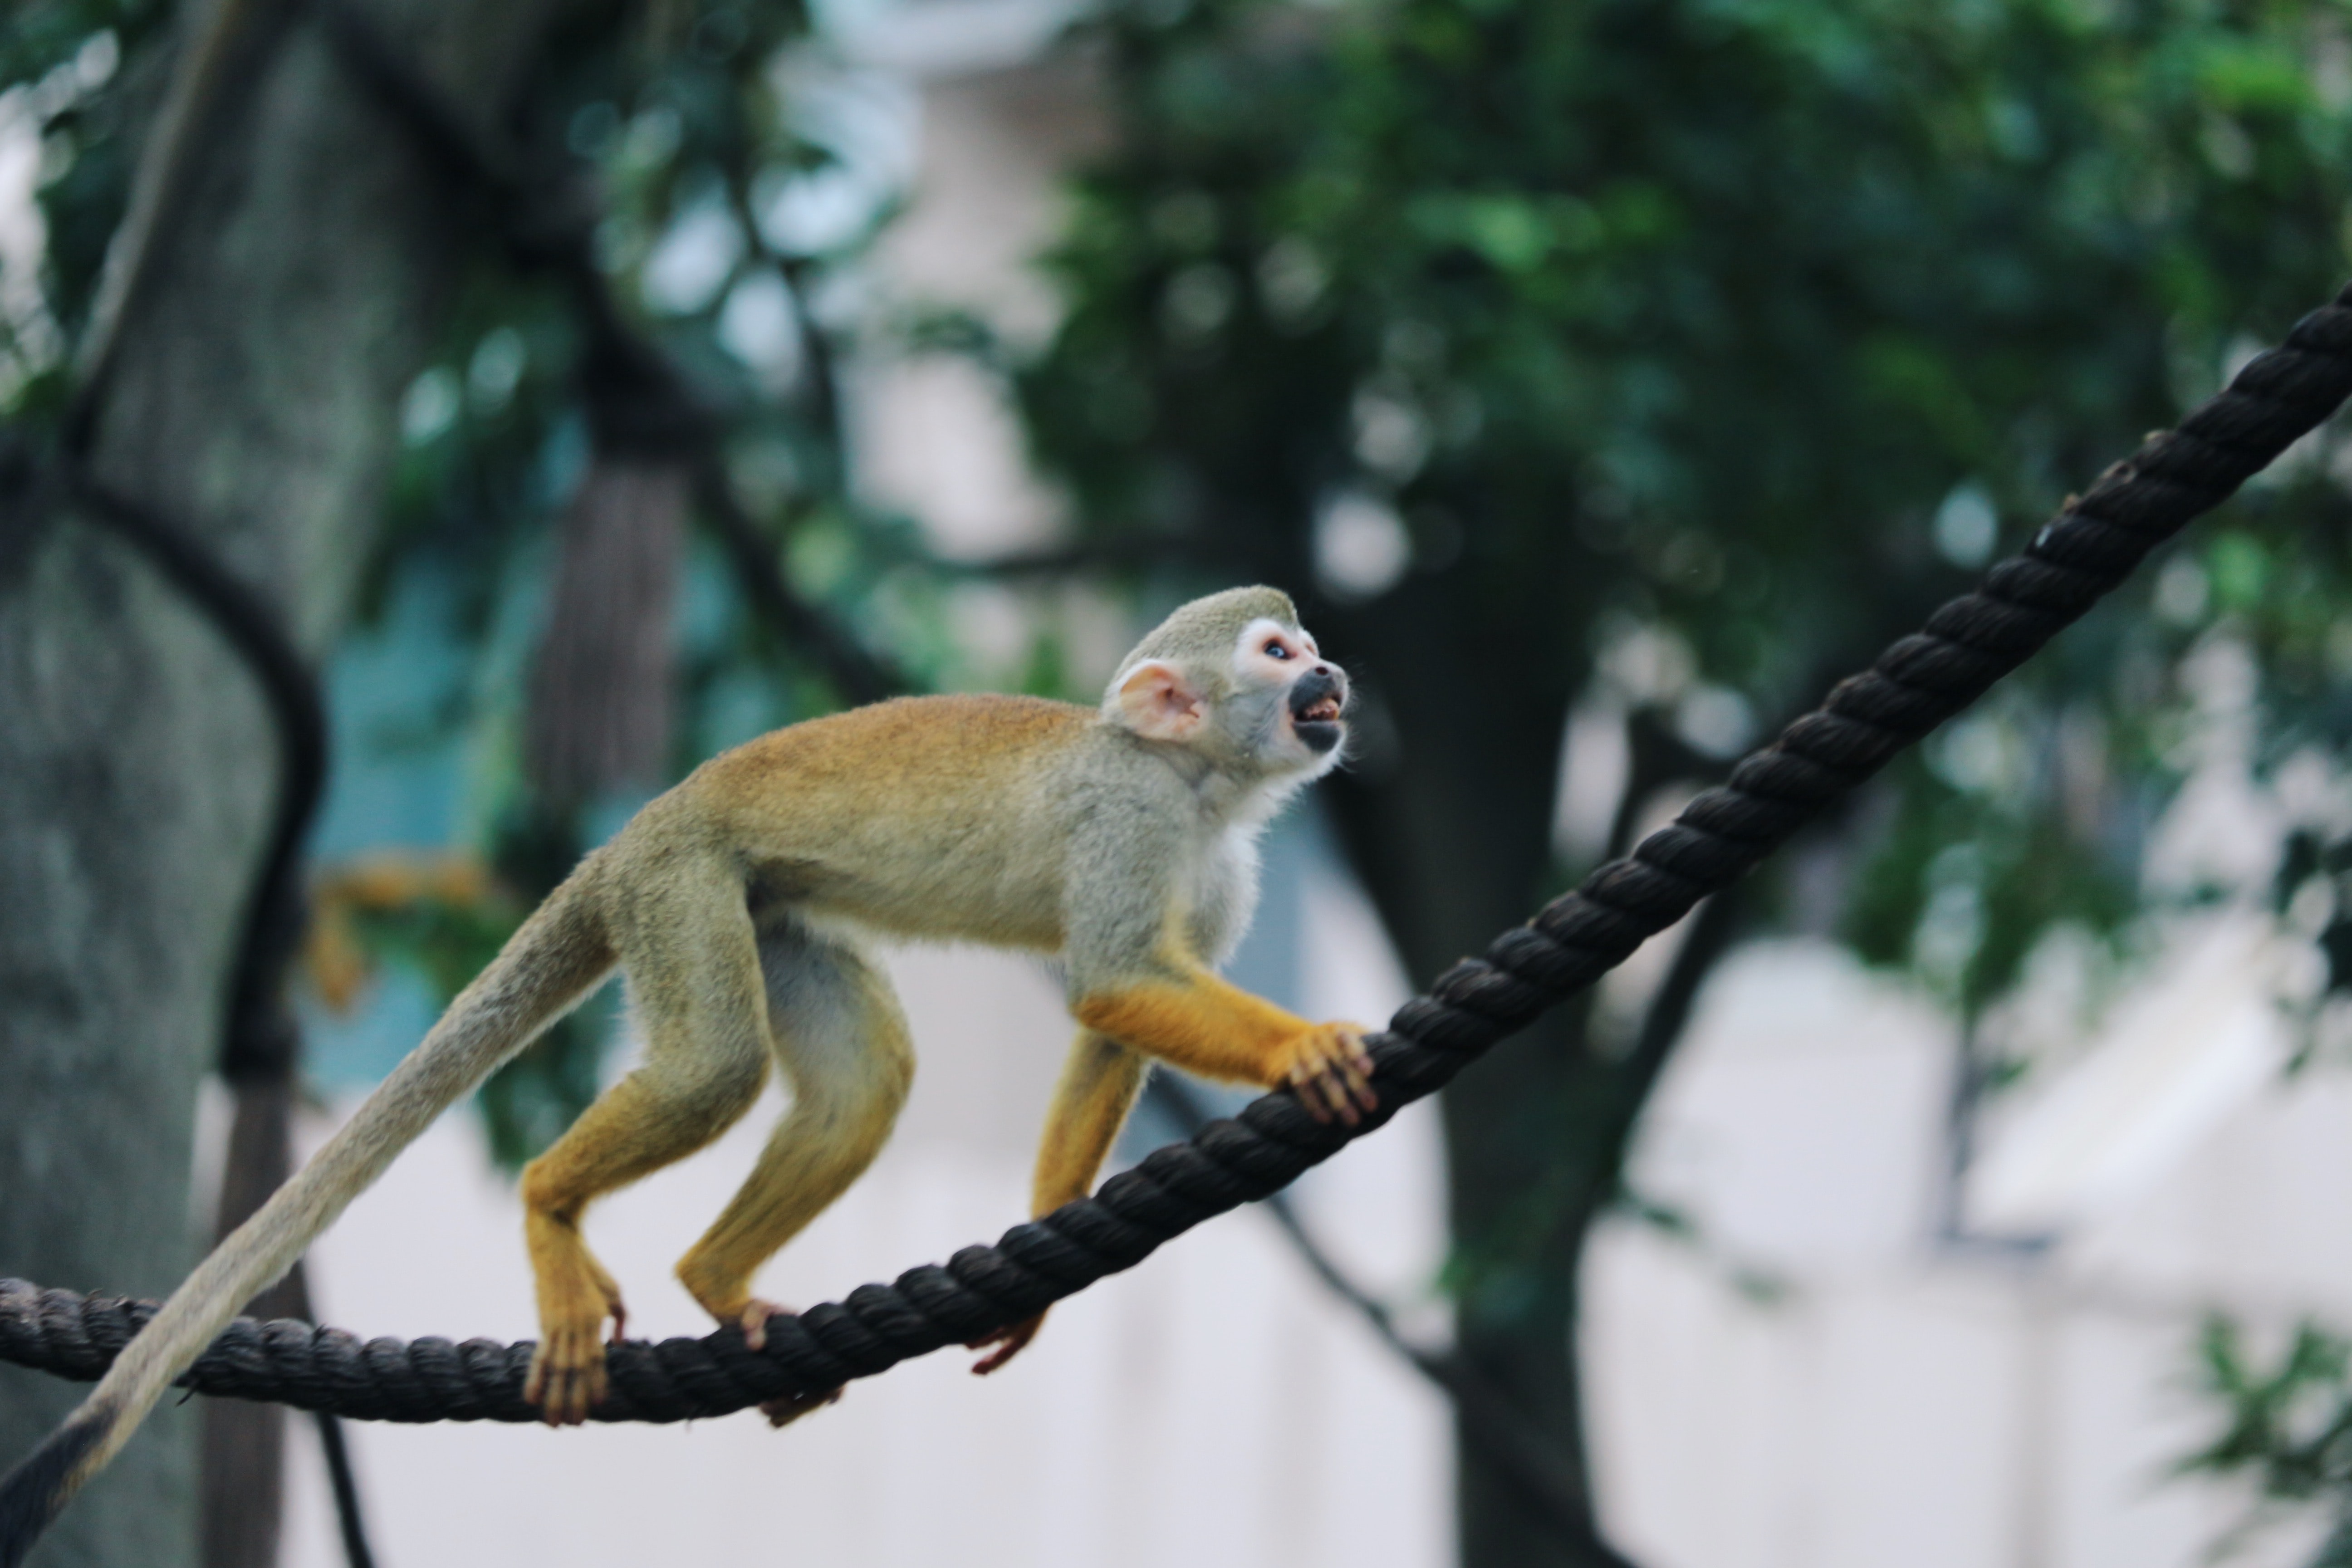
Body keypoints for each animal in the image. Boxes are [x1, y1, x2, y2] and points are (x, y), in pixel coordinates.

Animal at [0, 588, 1373, 1542]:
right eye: (1273, 652)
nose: (1332, 673)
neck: (1192, 785)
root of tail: (630, 832)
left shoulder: (1220, 864)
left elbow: (1112, 1014)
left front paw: (1039, 1253)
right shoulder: (1125, 819)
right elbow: (1111, 982)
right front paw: (1303, 1045)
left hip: (760, 904)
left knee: (864, 1075)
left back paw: (714, 1274)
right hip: (682, 886)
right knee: (716, 1062)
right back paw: (551, 1204)